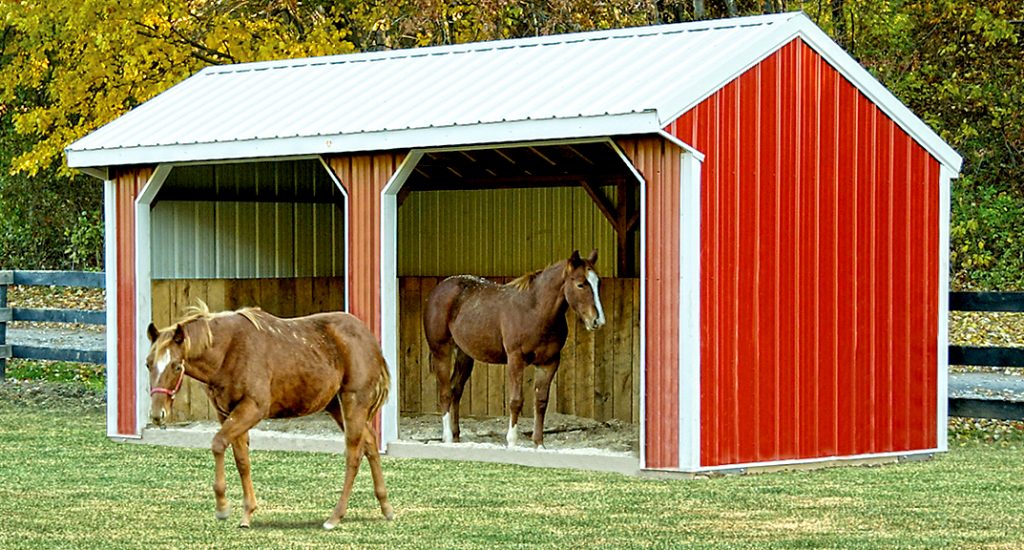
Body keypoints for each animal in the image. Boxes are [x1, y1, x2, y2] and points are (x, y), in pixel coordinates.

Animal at [145, 302, 393, 530]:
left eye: (176, 366)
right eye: (148, 364)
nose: (157, 414)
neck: (228, 350)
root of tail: (369, 339)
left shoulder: (252, 409)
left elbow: (218, 444)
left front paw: (222, 507)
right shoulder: (228, 413)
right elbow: (242, 460)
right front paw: (247, 513)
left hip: (353, 402)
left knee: (353, 454)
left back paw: (335, 517)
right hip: (336, 406)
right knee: (370, 442)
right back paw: (386, 507)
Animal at [423, 249, 606, 449]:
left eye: (598, 283)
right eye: (580, 284)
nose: (597, 321)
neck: (534, 310)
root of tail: (439, 289)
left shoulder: (549, 362)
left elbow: (541, 402)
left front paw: (539, 443)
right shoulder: (515, 359)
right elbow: (516, 401)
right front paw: (512, 441)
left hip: (465, 354)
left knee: (456, 390)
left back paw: (456, 437)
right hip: (441, 351)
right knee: (445, 393)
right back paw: (448, 437)